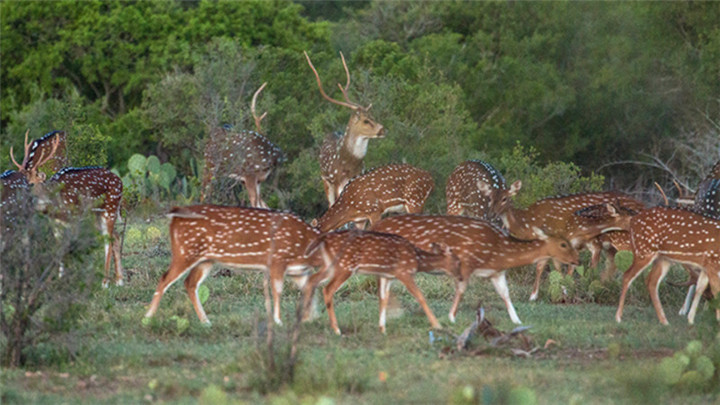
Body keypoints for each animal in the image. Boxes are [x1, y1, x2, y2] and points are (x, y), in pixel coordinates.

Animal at [145, 205, 320, 326]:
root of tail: (174, 216)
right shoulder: (277, 260)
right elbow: (278, 291)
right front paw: (279, 321)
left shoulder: (297, 270)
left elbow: (309, 288)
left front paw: (309, 319)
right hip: (185, 252)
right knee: (164, 278)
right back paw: (148, 318)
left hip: (205, 260)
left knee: (190, 283)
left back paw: (206, 322)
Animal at [300, 229, 462, 332]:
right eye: (458, 261)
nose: (461, 277)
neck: (417, 259)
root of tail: (324, 239)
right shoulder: (404, 272)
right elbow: (420, 296)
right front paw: (437, 325)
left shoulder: (387, 276)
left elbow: (384, 299)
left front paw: (382, 328)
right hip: (345, 265)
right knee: (327, 289)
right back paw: (336, 329)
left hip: (330, 265)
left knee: (311, 280)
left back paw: (305, 319)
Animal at [302, 51, 386, 205]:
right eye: (365, 121)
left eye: (372, 116)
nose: (383, 129)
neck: (349, 164)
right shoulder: (336, 182)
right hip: (325, 179)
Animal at [372, 213, 580, 324]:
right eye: (563, 244)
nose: (577, 260)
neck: (499, 251)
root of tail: (376, 224)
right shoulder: (467, 262)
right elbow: (461, 290)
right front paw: (451, 317)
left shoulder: (497, 272)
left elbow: (505, 293)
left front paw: (517, 320)